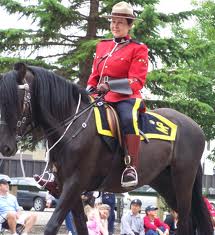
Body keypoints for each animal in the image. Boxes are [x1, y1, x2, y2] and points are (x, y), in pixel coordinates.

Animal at [0, 63, 212, 235]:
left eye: (16, 101)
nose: (5, 146)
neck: (73, 127)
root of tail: (195, 127)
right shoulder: (68, 187)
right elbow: (81, 226)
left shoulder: (74, 184)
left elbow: (52, 226)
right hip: (164, 182)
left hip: (183, 179)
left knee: (184, 221)